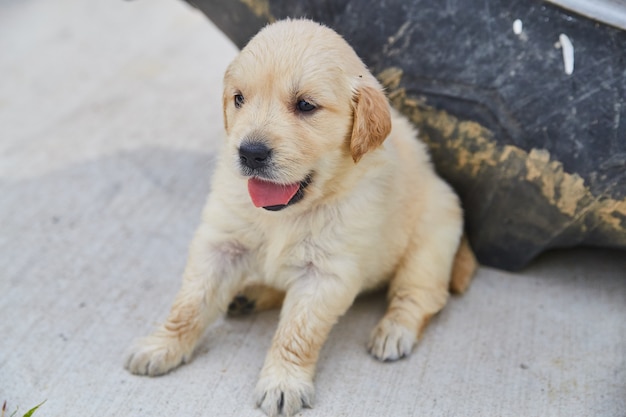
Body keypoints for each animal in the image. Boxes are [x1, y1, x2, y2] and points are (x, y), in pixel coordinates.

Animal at [123, 18, 472, 416]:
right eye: (239, 99)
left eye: (305, 105)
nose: (250, 152)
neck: (289, 213)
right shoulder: (221, 244)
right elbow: (189, 303)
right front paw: (162, 345)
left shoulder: (325, 273)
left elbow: (297, 332)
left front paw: (283, 382)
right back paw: (250, 295)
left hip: (432, 239)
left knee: (421, 295)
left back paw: (395, 330)